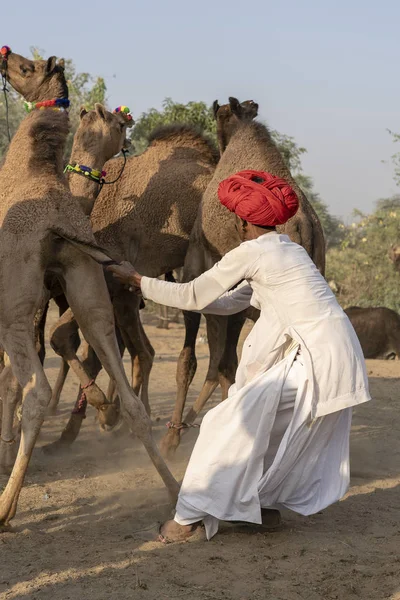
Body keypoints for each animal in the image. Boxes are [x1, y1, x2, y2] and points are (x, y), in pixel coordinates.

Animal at [0, 49, 178, 524]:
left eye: (27, 68)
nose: (4, 55)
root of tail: (59, 224)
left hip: (15, 305)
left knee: (35, 390)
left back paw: (6, 509)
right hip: (89, 289)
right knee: (129, 391)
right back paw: (174, 490)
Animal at [158, 96, 326, 458]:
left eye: (218, 116)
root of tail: (302, 224)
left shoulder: (201, 279)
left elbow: (193, 362)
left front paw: (172, 439)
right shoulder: (228, 302)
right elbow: (222, 364)